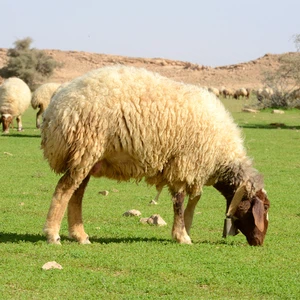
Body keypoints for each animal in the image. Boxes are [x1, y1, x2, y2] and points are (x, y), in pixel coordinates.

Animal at [41, 65, 270, 246]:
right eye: (265, 207)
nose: (259, 242)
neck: (222, 157)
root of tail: (56, 105)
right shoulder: (184, 163)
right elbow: (181, 200)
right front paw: (182, 235)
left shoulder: (190, 167)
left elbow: (194, 198)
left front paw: (185, 229)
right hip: (84, 148)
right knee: (64, 189)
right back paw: (53, 235)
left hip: (87, 158)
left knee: (76, 194)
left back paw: (80, 236)